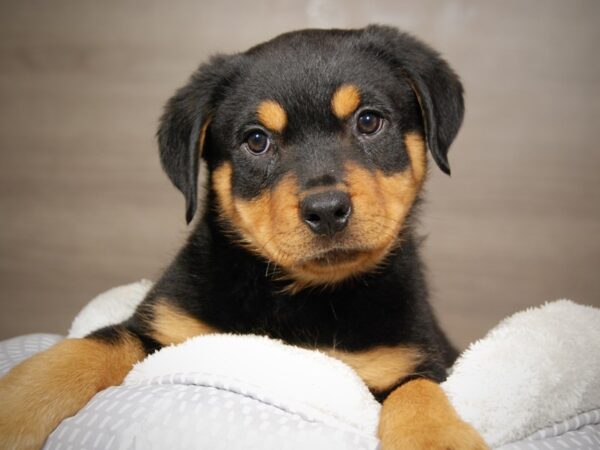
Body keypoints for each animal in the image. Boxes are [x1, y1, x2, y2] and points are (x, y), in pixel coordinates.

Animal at [0, 25, 488, 450]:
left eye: (369, 121)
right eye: (256, 140)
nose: (326, 210)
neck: (300, 295)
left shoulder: (413, 359)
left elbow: (419, 392)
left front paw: (437, 439)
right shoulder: (165, 330)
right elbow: (85, 348)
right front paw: (15, 406)